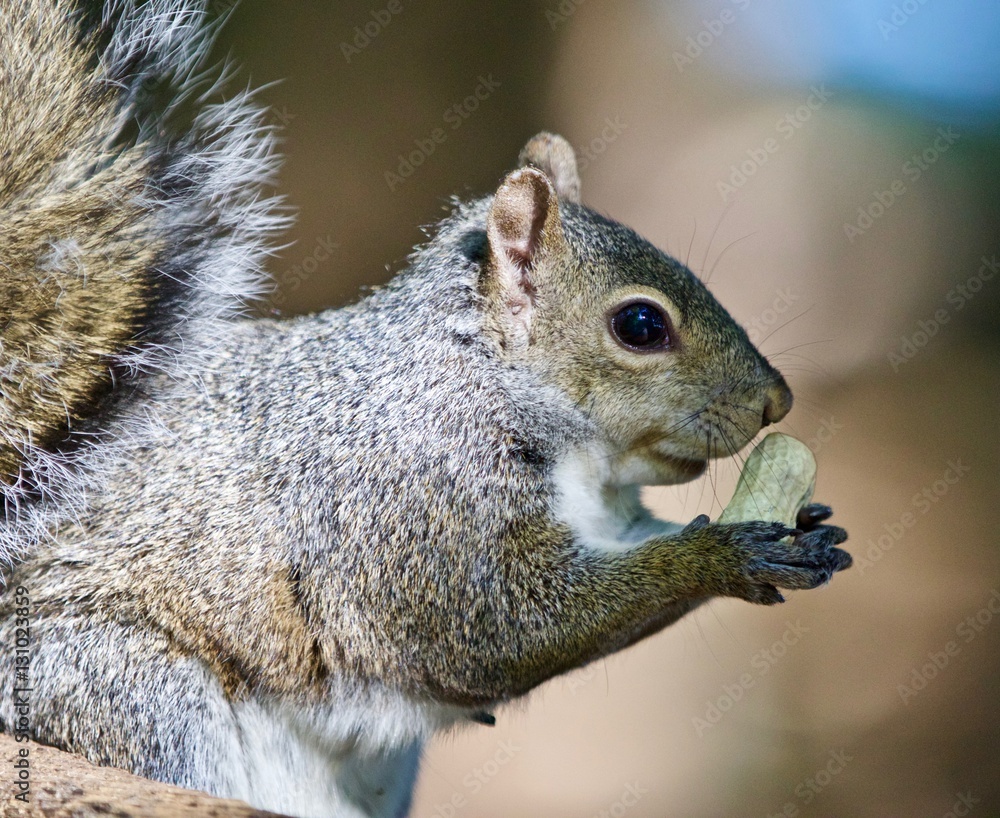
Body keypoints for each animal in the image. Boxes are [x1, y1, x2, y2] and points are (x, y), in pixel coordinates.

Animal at [0, 2, 851, 817]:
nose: (776, 401)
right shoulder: (419, 503)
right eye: (640, 325)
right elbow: (498, 627)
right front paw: (722, 557)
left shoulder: (605, 518)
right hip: (130, 692)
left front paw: (805, 527)